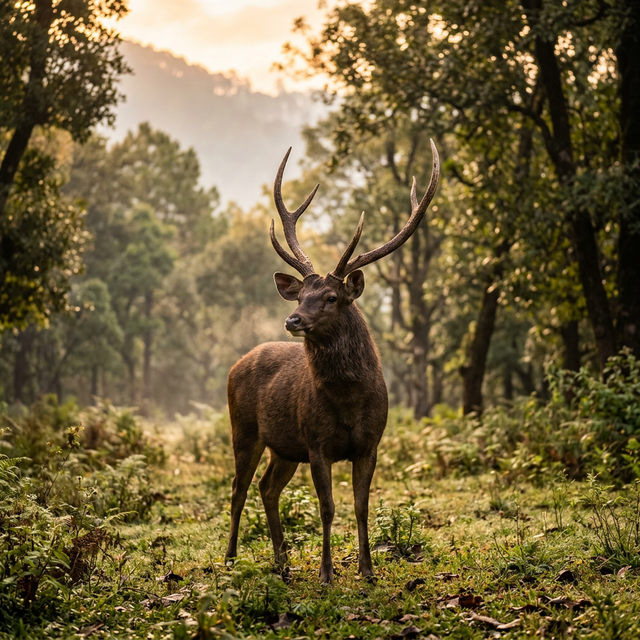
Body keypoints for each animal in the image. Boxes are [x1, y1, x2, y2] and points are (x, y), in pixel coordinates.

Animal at [225, 141, 439, 583]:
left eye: (331, 297)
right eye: (301, 295)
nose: (293, 319)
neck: (349, 401)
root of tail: (236, 365)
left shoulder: (370, 443)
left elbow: (361, 507)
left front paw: (368, 570)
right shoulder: (317, 442)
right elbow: (327, 508)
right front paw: (326, 574)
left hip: (284, 447)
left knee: (267, 488)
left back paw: (283, 562)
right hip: (245, 429)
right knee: (238, 489)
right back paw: (232, 557)